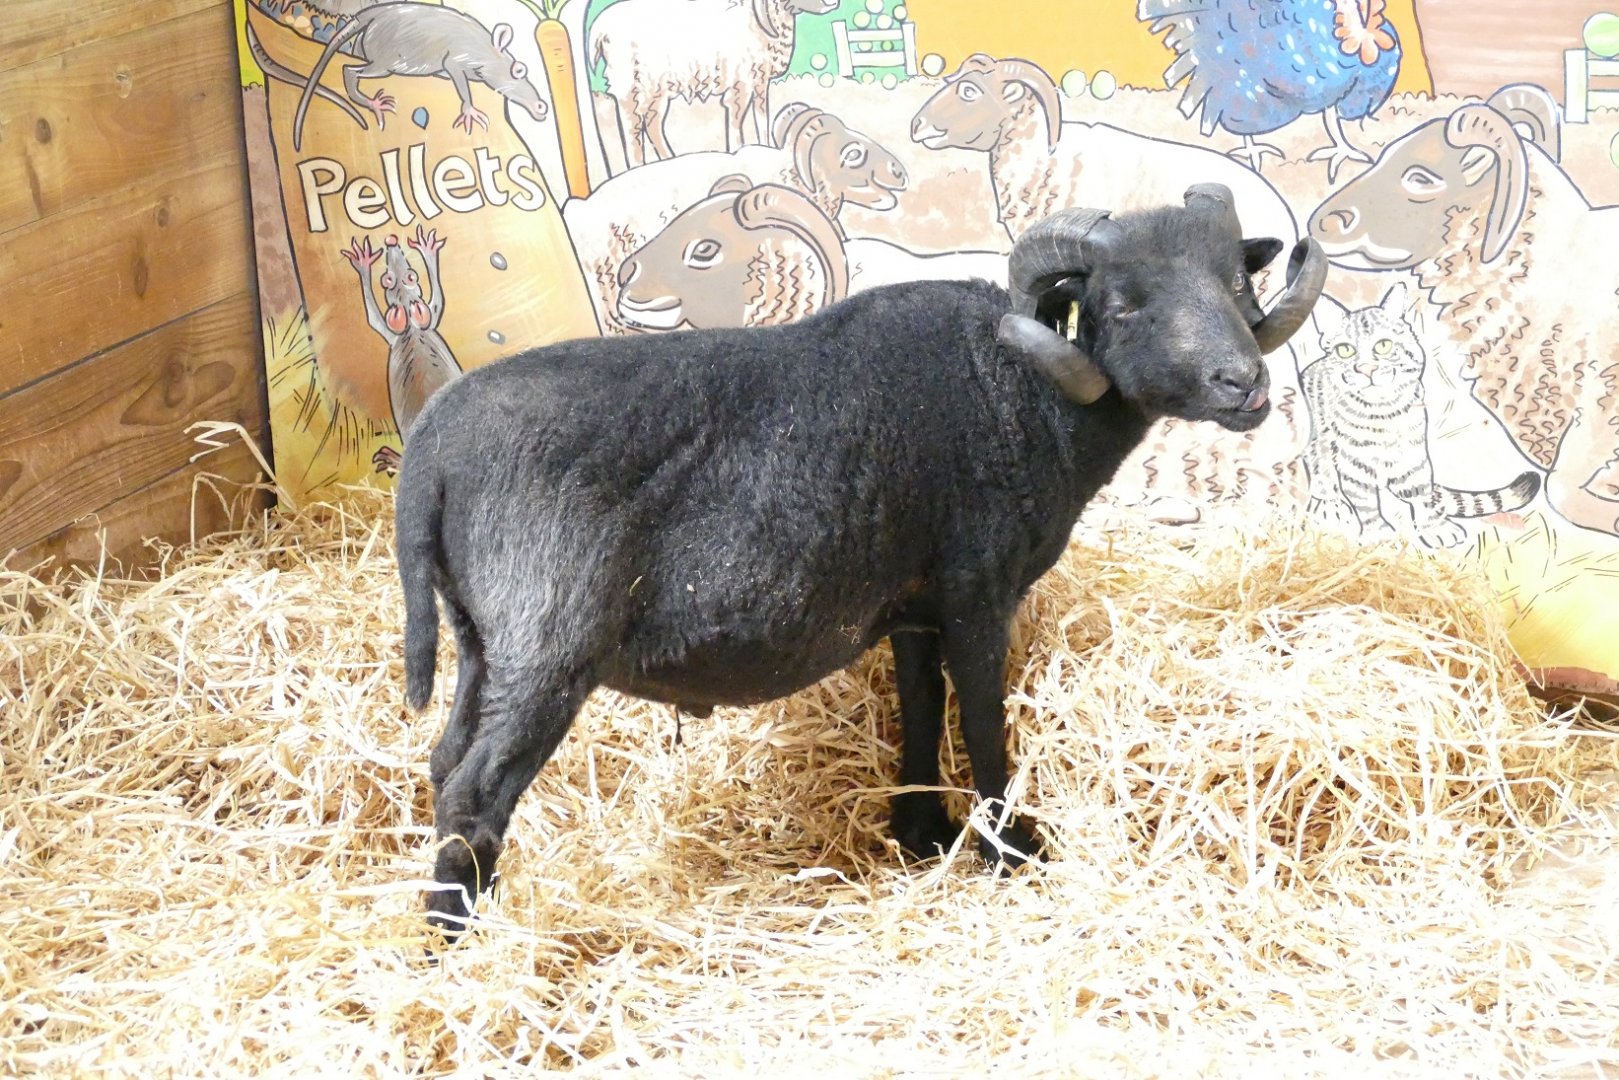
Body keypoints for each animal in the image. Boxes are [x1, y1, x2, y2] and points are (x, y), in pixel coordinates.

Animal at [391, 182, 1328, 937]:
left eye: (1235, 281)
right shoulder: (977, 593)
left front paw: (921, 832)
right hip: (547, 643)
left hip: (483, 640)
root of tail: (432, 447)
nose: (1243, 384)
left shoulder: (913, 603)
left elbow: (920, 705)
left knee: (442, 763)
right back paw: (458, 946)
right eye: (1125, 303)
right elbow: (981, 718)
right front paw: (1008, 848)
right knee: (474, 790)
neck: (1022, 388)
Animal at [589, 0, 838, 170]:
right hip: (634, 84)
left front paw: (764, 146)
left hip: (659, 89)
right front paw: (737, 151)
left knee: (652, 124)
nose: (833, 2)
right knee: (631, 125)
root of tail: (599, 28)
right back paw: (637, 167)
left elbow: (761, 116)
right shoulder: (741, 81)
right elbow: (737, 119)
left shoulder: (760, 80)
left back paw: (670, 160)